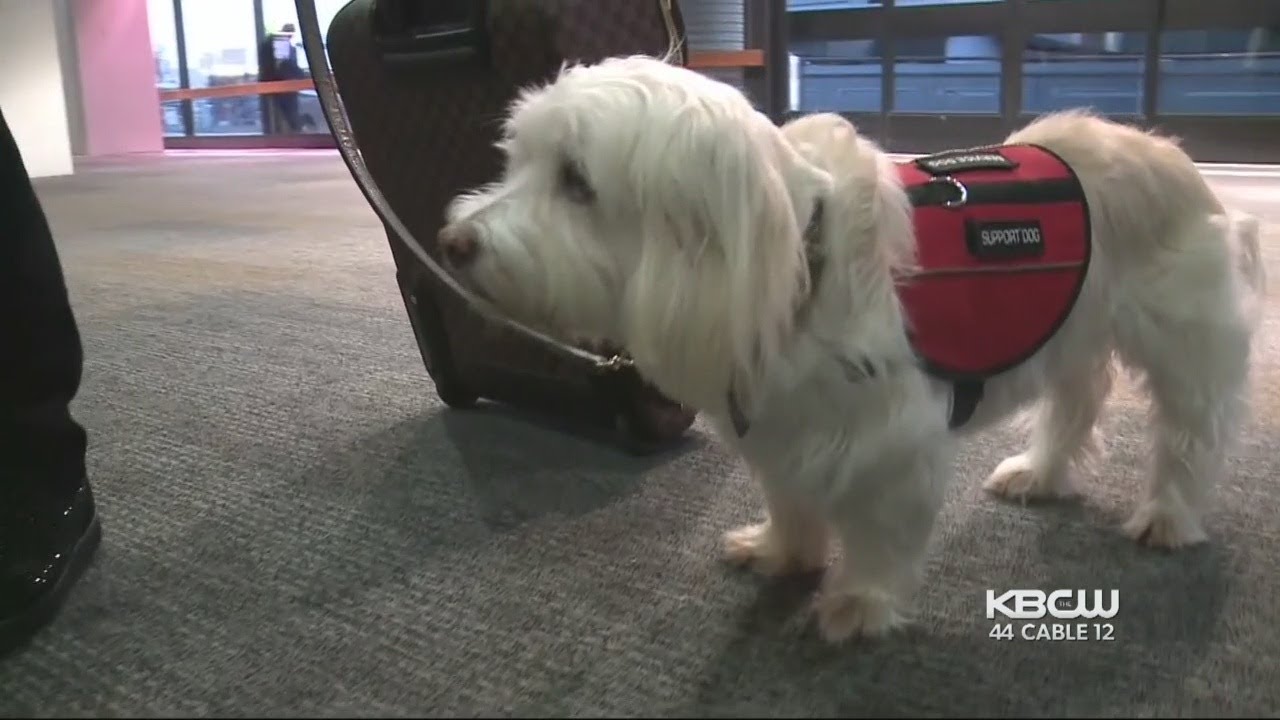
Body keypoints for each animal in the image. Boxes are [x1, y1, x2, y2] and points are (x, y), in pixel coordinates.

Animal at [435, 54, 1264, 638]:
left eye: (577, 182)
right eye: (516, 162)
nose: (451, 244)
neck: (798, 264)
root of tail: (1169, 152)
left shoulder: (891, 447)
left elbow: (879, 531)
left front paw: (861, 600)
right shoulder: (781, 428)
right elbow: (790, 499)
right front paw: (784, 551)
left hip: (1187, 352)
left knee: (1192, 433)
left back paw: (1169, 514)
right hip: (1068, 330)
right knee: (1080, 398)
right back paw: (1041, 470)